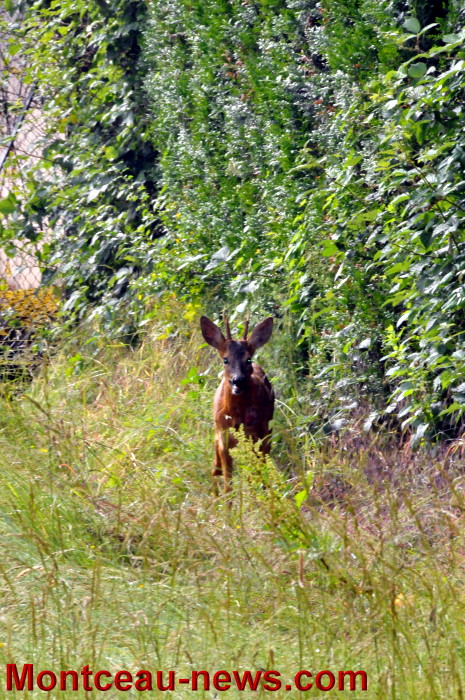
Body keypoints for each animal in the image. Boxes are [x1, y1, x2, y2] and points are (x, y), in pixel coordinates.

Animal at [200, 312, 274, 495]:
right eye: (225, 360)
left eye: (248, 359)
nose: (237, 380)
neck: (237, 415)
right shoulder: (223, 436)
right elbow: (227, 482)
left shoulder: (256, 433)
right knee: (215, 468)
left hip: (266, 429)